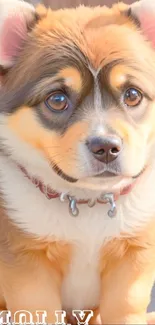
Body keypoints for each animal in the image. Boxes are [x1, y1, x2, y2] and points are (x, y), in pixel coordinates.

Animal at [0, 0, 155, 322]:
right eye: (57, 99)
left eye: (133, 94)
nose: (106, 147)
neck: (86, 202)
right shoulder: (26, 264)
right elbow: (39, 312)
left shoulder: (133, 258)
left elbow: (124, 309)